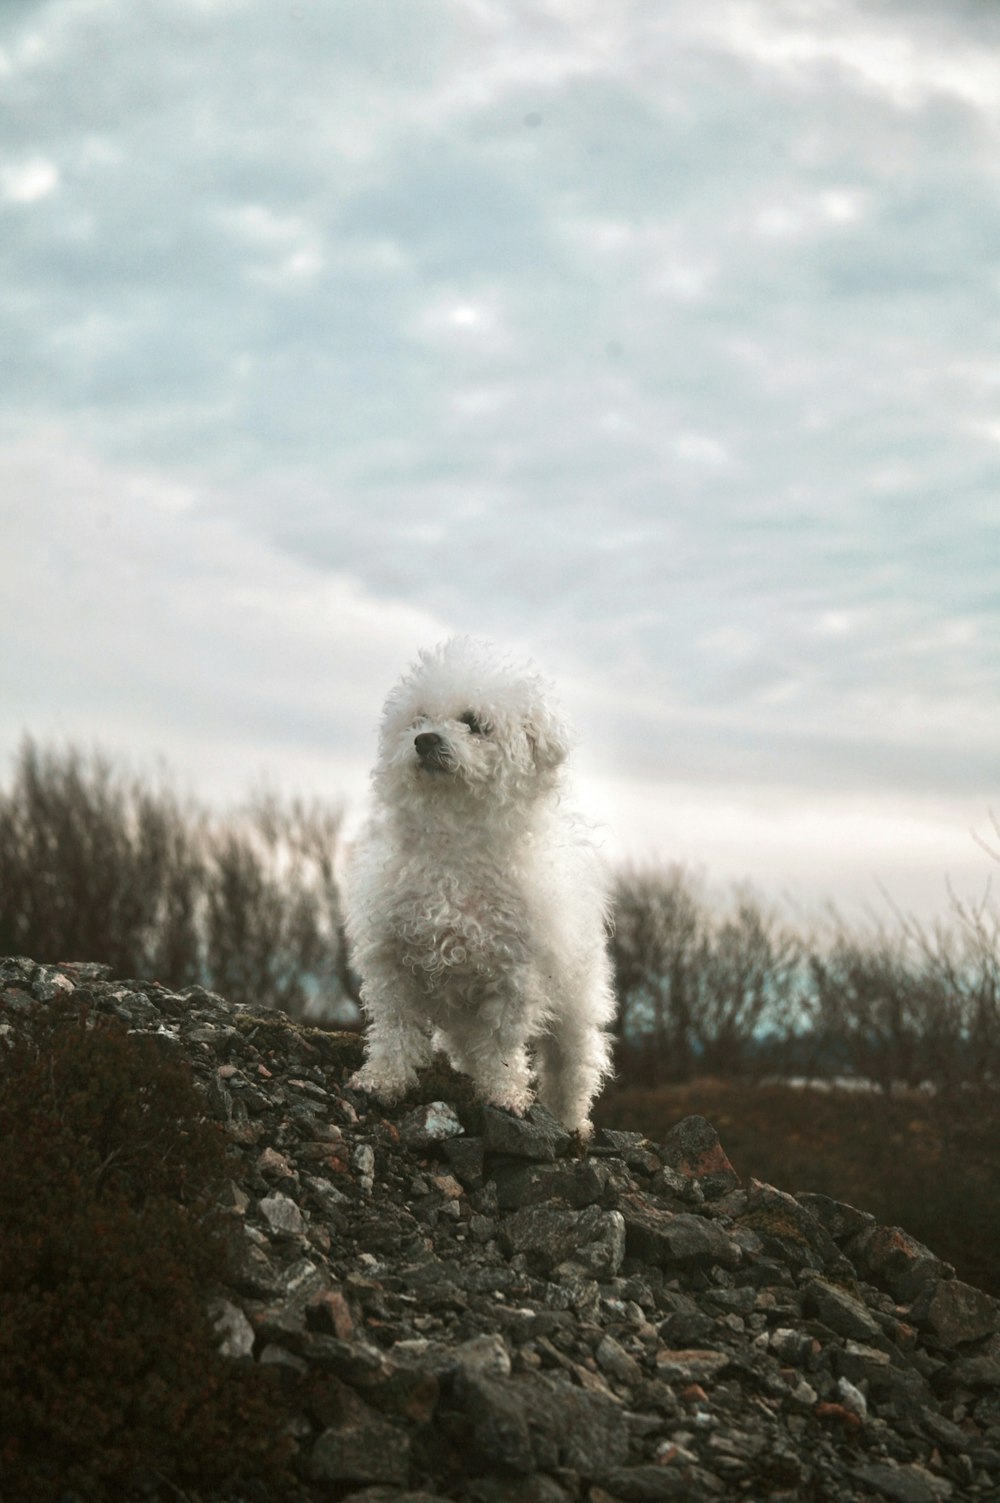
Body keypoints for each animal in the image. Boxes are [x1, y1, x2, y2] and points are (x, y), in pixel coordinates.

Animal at [342, 637, 616, 1136]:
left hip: (575, 1004)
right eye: (419, 719)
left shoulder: (514, 978)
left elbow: (502, 1048)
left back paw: (572, 1123)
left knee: (572, 1066)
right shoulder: (392, 966)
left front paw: (504, 1094)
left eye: (473, 723)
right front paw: (381, 1080)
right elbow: (394, 1031)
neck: (455, 848)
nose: (425, 740)